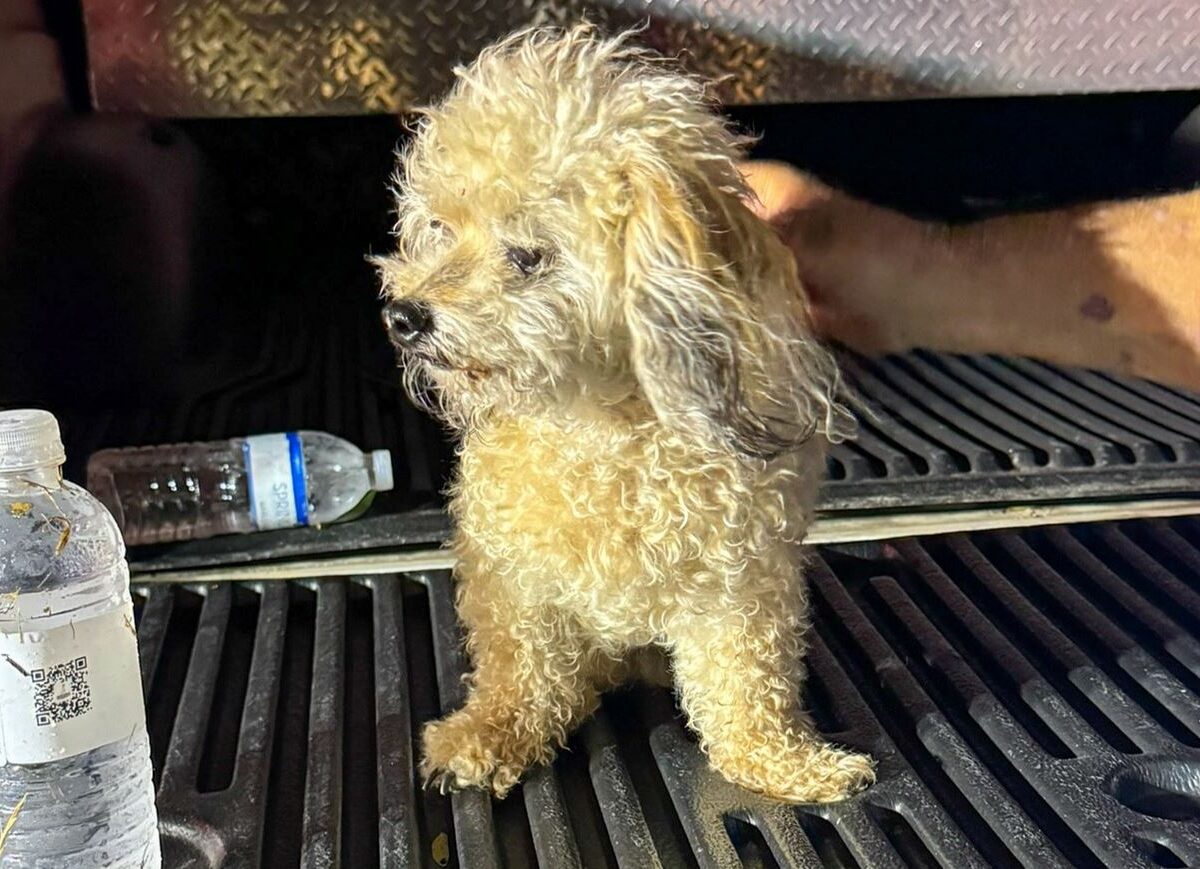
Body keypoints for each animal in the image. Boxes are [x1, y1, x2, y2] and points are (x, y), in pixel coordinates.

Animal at [374, 23, 873, 806]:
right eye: (439, 228)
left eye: (527, 255)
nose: (404, 315)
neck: (602, 427)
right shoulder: (512, 574)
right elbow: (520, 667)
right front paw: (492, 733)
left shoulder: (741, 581)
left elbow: (746, 683)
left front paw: (785, 761)